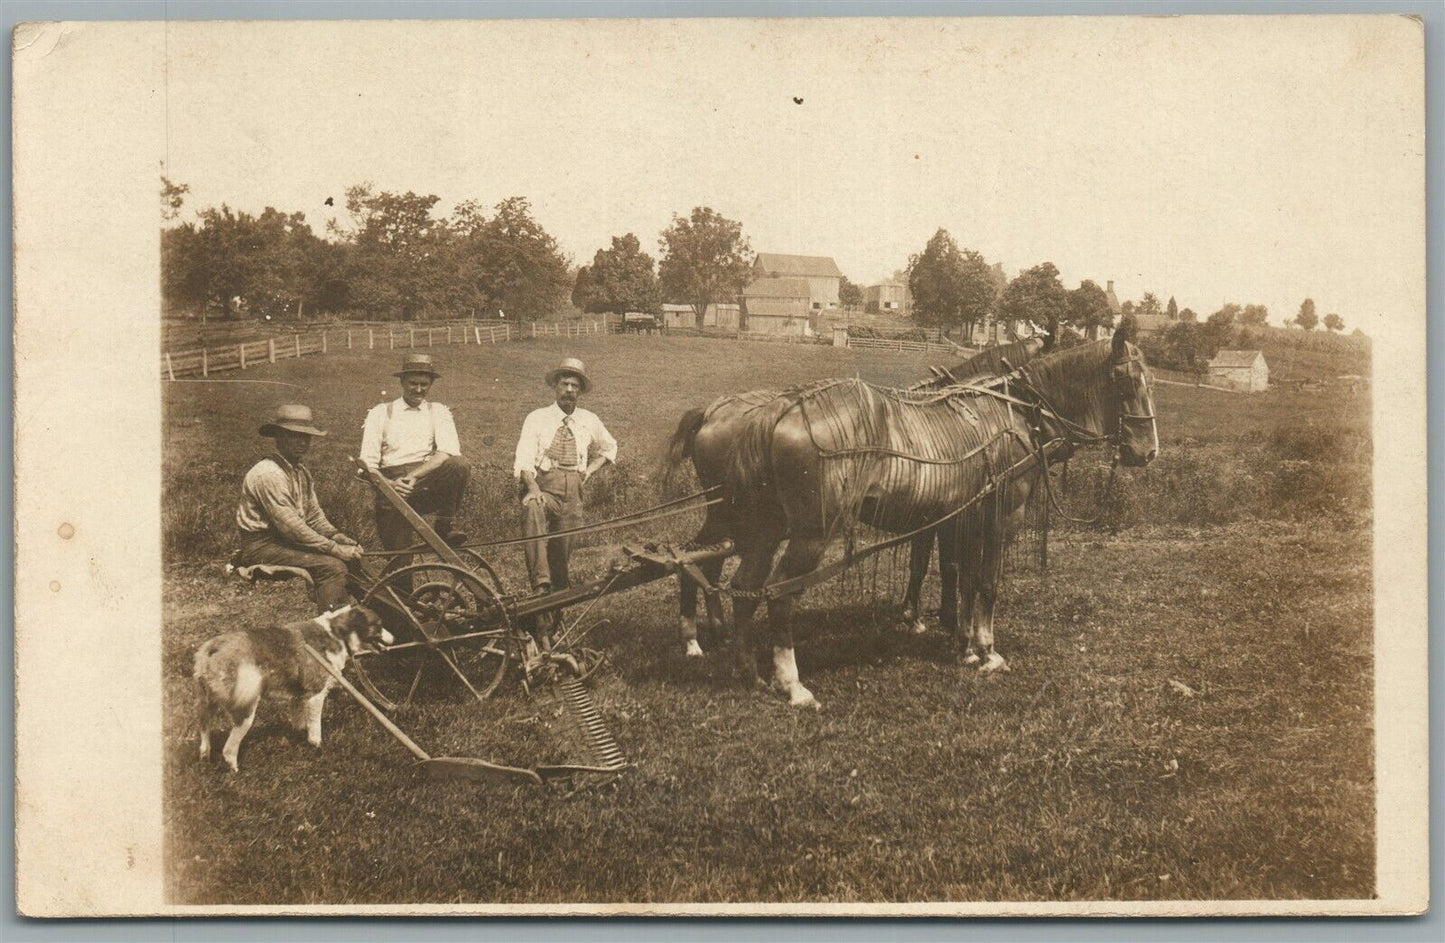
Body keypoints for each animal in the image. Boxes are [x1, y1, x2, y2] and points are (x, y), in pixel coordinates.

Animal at [196, 606, 395, 768]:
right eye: (378, 624)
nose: (394, 638)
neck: (337, 632)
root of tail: (212, 648)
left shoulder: (298, 697)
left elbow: (299, 723)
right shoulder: (316, 695)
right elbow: (315, 728)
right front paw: (317, 746)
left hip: (207, 706)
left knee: (205, 734)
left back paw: (205, 757)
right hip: (245, 711)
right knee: (228, 749)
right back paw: (235, 770)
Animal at [664, 335, 1051, 658]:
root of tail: (712, 411)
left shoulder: (938, 517)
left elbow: (933, 565)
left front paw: (930, 618)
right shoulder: (951, 517)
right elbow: (947, 567)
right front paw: (940, 622)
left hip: (731, 516)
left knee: (700, 558)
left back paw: (709, 634)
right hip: (737, 515)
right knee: (701, 559)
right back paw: (700, 638)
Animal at [716, 330, 1156, 704]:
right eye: (1127, 382)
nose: (1148, 450)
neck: (1013, 416)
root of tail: (780, 409)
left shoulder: (964, 519)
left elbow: (963, 580)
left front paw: (964, 645)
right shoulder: (1001, 519)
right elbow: (986, 584)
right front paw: (987, 651)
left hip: (765, 531)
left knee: (744, 587)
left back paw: (745, 671)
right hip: (812, 533)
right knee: (779, 595)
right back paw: (791, 684)